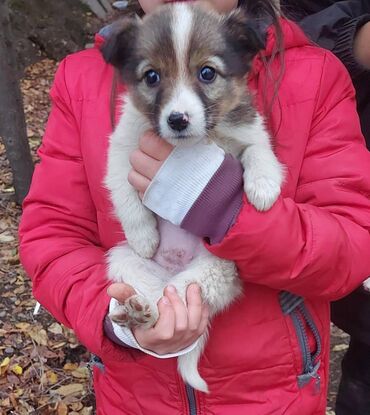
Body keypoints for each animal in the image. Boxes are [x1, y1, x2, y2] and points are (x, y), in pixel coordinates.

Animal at [101, 2, 284, 394]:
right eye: (152, 76)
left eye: (207, 72)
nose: (178, 119)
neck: (193, 142)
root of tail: (174, 267)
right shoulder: (122, 147)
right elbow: (124, 190)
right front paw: (144, 236)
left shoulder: (251, 132)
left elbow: (259, 152)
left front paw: (263, 186)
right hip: (125, 263)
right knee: (155, 301)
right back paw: (137, 313)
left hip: (208, 275)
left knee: (176, 297)